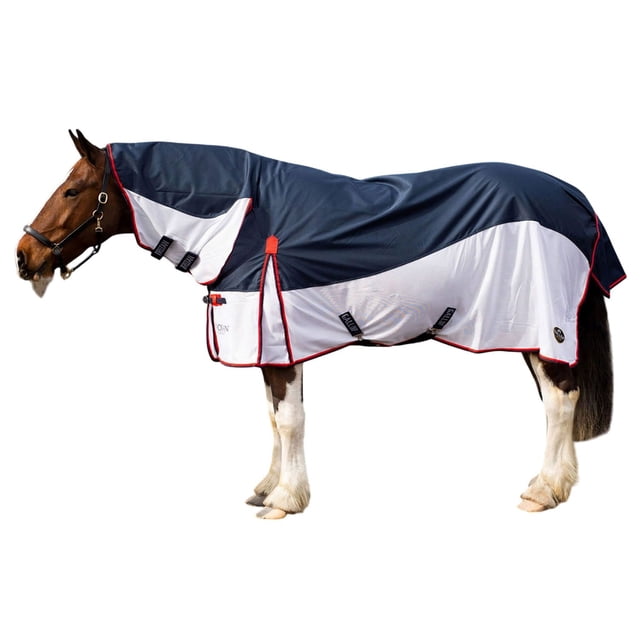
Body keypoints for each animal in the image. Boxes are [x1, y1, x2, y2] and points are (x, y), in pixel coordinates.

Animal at [17, 130, 625, 519]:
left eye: (72, 190)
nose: (25, 256)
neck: (247, 219)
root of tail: (574, 199)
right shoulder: (272, 343)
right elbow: (273, 417)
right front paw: (267, 488)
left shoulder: (276, 339)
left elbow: (288, 421)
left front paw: (285, 501)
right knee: (560, 401)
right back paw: (557, 485)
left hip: (543, 328)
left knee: (559, 401)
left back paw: (544, 491)